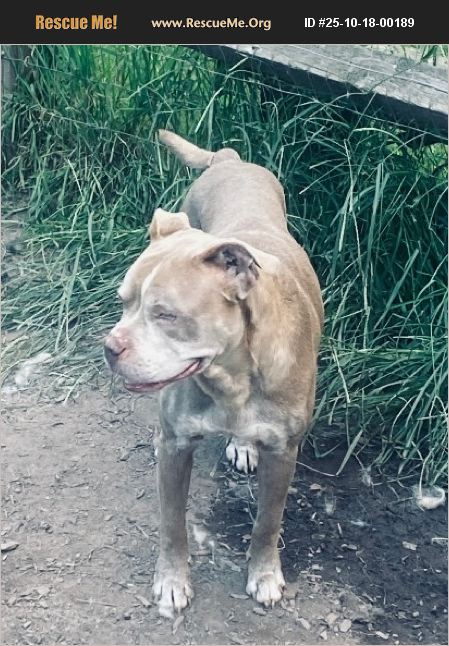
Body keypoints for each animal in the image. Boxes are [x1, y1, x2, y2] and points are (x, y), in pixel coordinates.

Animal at [104, 130, 323, 617]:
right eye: (123, 302)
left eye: (166, 315)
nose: (109, 348)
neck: (231, 377)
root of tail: (229, 160)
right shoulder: (175, 445)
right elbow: (172, 523)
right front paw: (172, 582)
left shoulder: (284, 452)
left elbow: (268, 521)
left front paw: (265, 574)